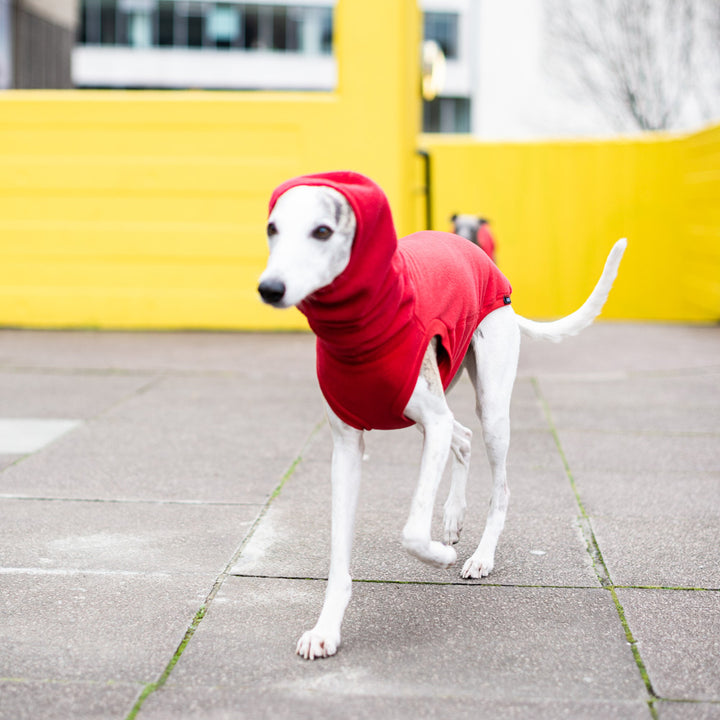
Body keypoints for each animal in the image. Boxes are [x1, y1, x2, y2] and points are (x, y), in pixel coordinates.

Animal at [258, 179, 624, 660]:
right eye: (272, 228)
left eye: (322, 230)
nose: (269, 288)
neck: (357, 336)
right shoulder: (348, 446)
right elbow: (339, 554)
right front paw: (326, 630)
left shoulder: (432, 420)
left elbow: (412, 531)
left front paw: (440, 556)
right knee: (462, 435)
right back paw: (451, 518)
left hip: (491, 408)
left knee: (499, 482)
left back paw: (480, 555)